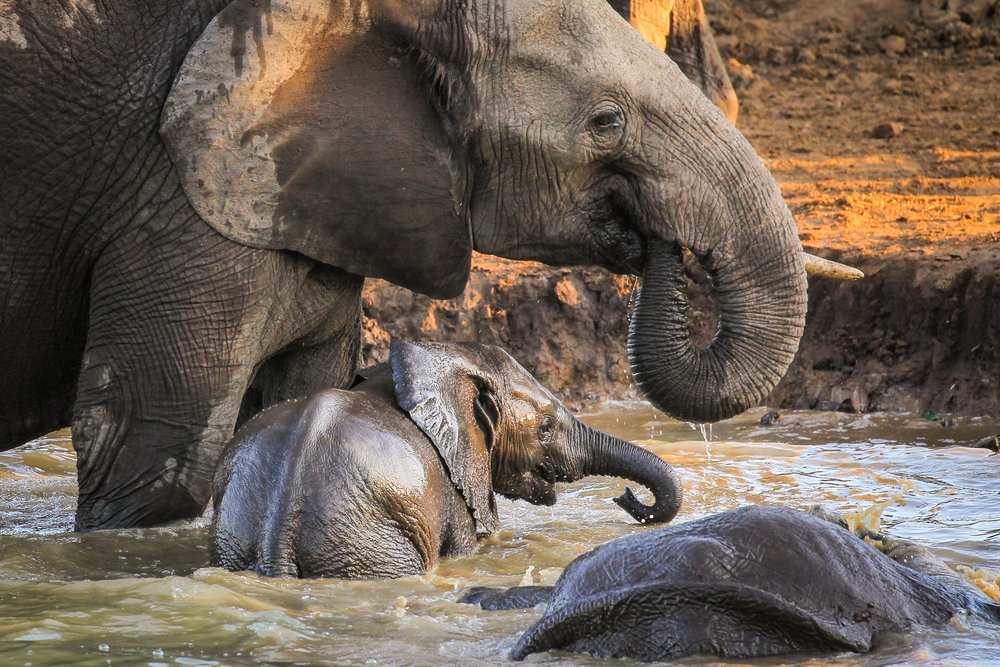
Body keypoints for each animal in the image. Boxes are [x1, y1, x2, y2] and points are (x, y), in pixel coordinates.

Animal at [210, 340, 682, 578]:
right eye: (546, 427)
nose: (626, 498)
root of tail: (277, 541)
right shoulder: (450, 493)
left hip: (236, 536)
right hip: (371, 547)